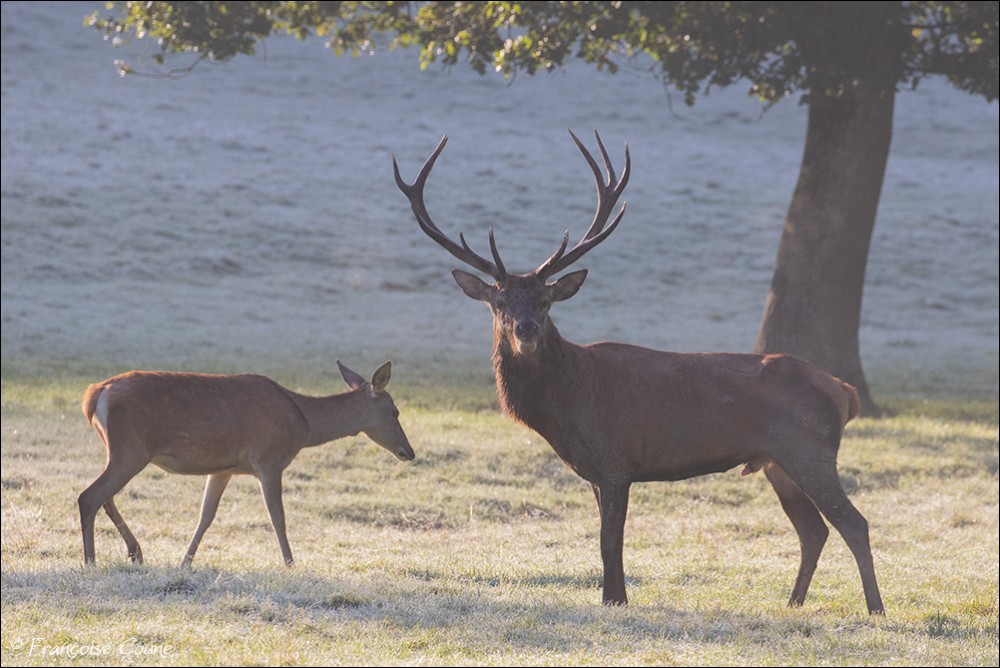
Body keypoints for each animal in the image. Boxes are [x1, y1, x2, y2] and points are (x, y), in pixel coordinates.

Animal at [78, 361, 414, 566]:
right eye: (395, 412)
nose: (408, 452)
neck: (304, 425)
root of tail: (94, 395)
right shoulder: (269, 460)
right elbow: (278, 516)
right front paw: (290, 563)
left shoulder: (224, 468)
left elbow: (205, 516)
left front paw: (185, 562)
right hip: (131, 449)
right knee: (89, 496)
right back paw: (91, 561)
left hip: (121, 450)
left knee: (105, 497)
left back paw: (135, 553)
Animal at [393, 131, 885, 615]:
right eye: (499, 302)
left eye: (545, 301)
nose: (526, 330)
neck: (566, 407)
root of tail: (845, 391)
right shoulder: (596, 472)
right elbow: (610, 542)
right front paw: (618, 598)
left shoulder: (616, 461)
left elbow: (609, 542)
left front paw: (612, 600)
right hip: (776, 461)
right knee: (813, 529)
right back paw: (793, 603)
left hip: (809, 450)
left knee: (853, 522)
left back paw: (875, 608)